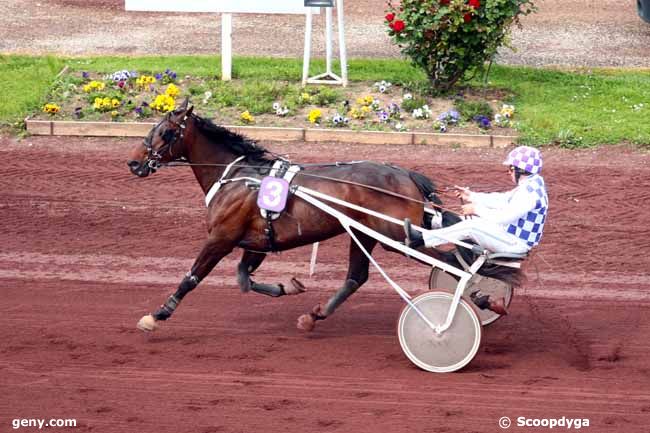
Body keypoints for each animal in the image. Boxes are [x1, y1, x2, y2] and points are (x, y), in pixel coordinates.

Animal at [125, 100, 460, 330]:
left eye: (166, 132)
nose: (134, 162)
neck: (237, 175)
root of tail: (406, 173)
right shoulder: (257, 241)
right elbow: (244, 278)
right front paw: (289, 286)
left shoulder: (221, 237)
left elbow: (192, 277)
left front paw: (157, 314)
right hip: (363, 233)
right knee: (356, 277)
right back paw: (314, 315)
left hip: (395, 236)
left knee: (450, 262)